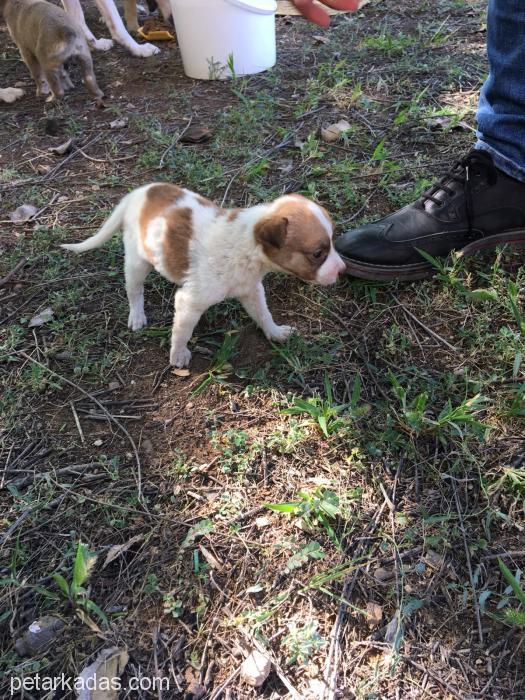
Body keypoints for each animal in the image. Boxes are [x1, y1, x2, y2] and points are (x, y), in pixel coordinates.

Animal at [61, 183, 346, 370]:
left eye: (333, 241)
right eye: (318, 253)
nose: (342, 269)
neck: (245, 247)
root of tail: (138, 193)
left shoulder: (251, 290)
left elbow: (263, 314)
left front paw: (274, 332)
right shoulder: (190, 302)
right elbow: (182, 331)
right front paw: (178, 355)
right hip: (136, 261)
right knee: (135, 290)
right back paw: (137, 315)